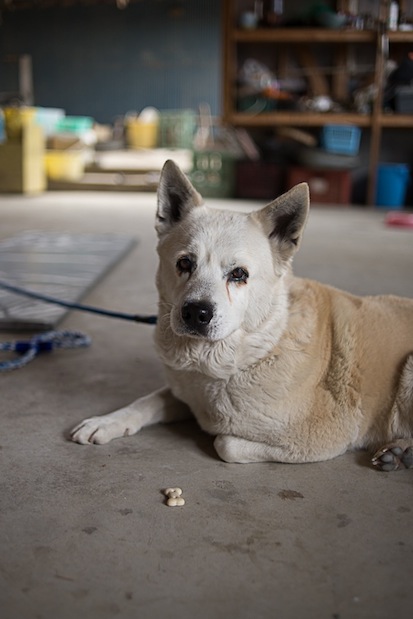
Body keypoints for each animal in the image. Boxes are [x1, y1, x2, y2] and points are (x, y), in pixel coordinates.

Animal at [71, 161, 412, 474]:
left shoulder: (324, 437)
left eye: (238, 274)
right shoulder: (184, 391)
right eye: (184, 263)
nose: (196, 313)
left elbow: (225, 442)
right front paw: (107, 421)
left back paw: (401, 451)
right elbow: (147, 400)